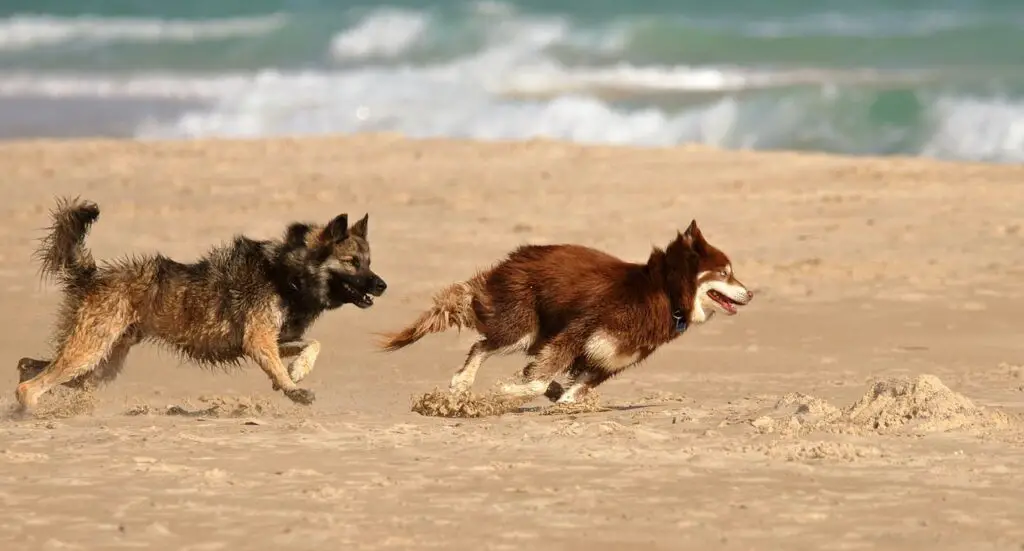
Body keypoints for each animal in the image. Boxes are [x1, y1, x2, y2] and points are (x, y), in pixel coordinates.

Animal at [14, 195, 389, 409]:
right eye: (352, 262)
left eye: (370, 261)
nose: (383, 285)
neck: (286, 273)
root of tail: (93, 275)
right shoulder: (258, 341)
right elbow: (283, 364)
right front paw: (292, 388)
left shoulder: (269, 340)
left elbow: (312, 344)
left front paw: (297, 370)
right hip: (90, 352)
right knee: (30, 385)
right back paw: (27, 410)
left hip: (99, 363)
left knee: (28, 366)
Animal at [376, 219, 753, 403]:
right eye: (725, 273)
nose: (750, 293)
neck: (665, 294)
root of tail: (514, 257)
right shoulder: (576, 333)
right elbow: (537, 379)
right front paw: (508, 392)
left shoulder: (606, 362)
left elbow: (572, 392)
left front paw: (561, 398)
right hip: (523, 327)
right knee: (481, 345)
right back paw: (464, 381)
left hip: (533, 332)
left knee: (485, 344)